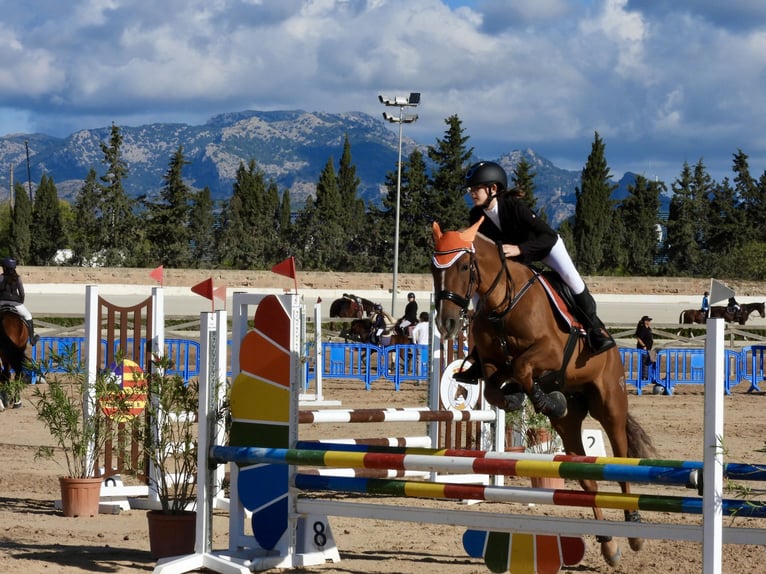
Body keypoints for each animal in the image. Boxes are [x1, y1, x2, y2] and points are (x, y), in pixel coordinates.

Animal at [431, 219, 655, 568]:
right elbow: (495, 386)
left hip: (610, 407)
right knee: (587, 477)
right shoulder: (492, 363)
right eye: (433, 268)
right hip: (571, 425)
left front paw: (545, 398)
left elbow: (523, 367)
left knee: (621, 461)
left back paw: (633, 531)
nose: (447, 323)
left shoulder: (549, 352)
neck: (502, 304)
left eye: (465, 266)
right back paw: (608, 545)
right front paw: (521, 397)